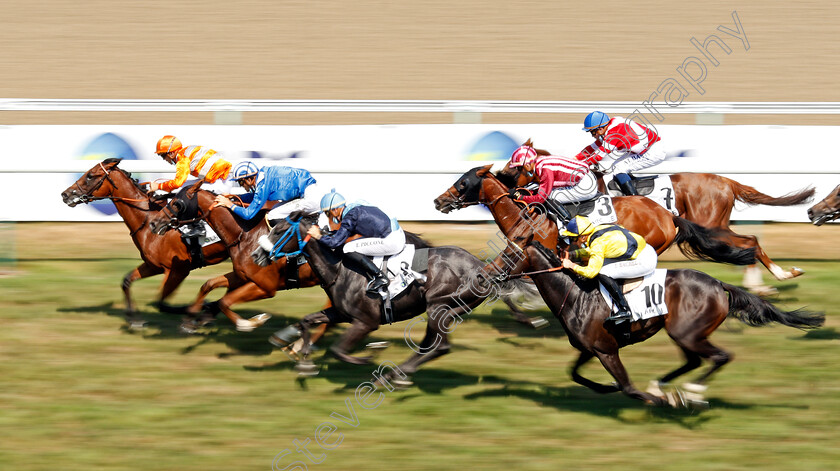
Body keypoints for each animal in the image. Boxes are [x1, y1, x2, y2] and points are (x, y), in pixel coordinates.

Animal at [60, 159, 230, 328]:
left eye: (90, 175)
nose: (65, 194)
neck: (148, 221)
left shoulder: (178, 270)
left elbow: (161, 304)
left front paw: (203, 308)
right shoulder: (153, 266)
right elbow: (127, 281)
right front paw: (134, 319)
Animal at [520, 242, 824, 408]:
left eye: (510, 256)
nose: (501, 280)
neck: (576, 295)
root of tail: (718, 283)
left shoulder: (606, 349)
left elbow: (628, 387)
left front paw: (656, 400)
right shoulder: (591, 348)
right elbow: (575, 374)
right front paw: (607, 387)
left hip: (686, 333)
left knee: (720, 357)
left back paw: (690, 393)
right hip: (684, 333)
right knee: (695, 361)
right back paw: (663, 386)